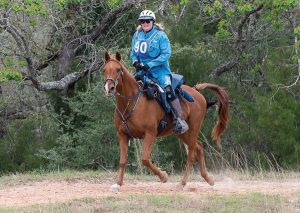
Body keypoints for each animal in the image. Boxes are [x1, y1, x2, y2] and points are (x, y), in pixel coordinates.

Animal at [102, 52, 229, 191]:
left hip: (193, 129)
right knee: (199, 147)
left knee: (191, 155)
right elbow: (122, 161)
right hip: (183, 133)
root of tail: (196, 92)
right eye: (104, 70)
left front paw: (163, 176)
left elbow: (145, 159)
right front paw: (118, 183)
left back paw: (182, 183)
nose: (109, 88)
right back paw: (208, 178)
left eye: (118, 69)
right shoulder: (123, 135)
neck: (131, 102)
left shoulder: (150, 134)